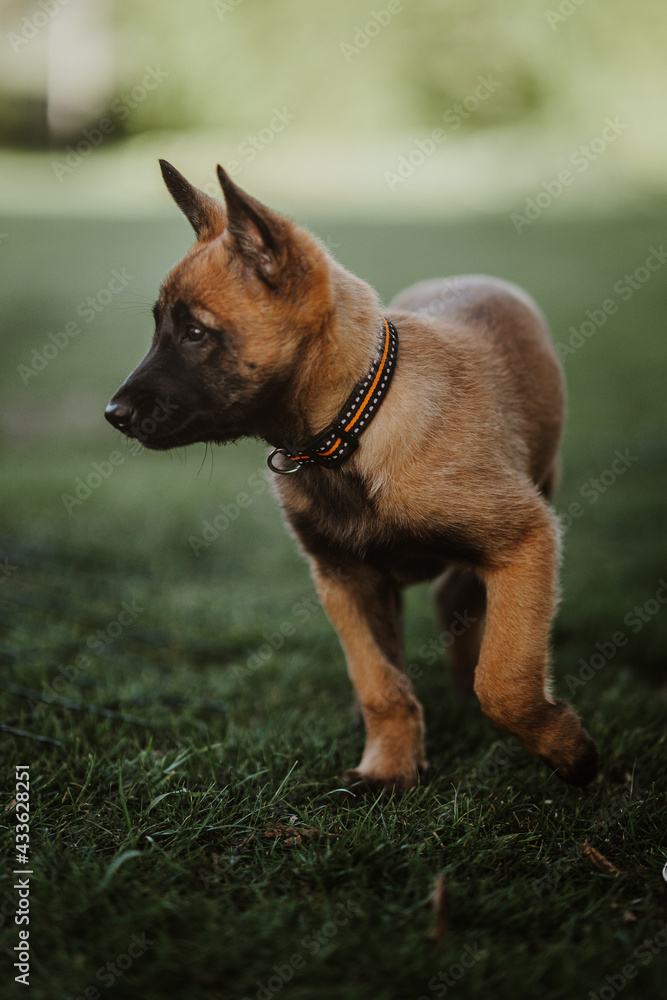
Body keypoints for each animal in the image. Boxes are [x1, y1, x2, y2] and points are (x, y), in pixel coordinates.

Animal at [105, 162, 600, 788]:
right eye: (158, 330)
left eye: (195, 334)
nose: (113, 414)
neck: (351, 430)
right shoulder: (343, 578)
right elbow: (380, 683)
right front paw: (391, 766)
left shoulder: (525, 540)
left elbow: (506, 679)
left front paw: (567, 750)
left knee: (462, 598)